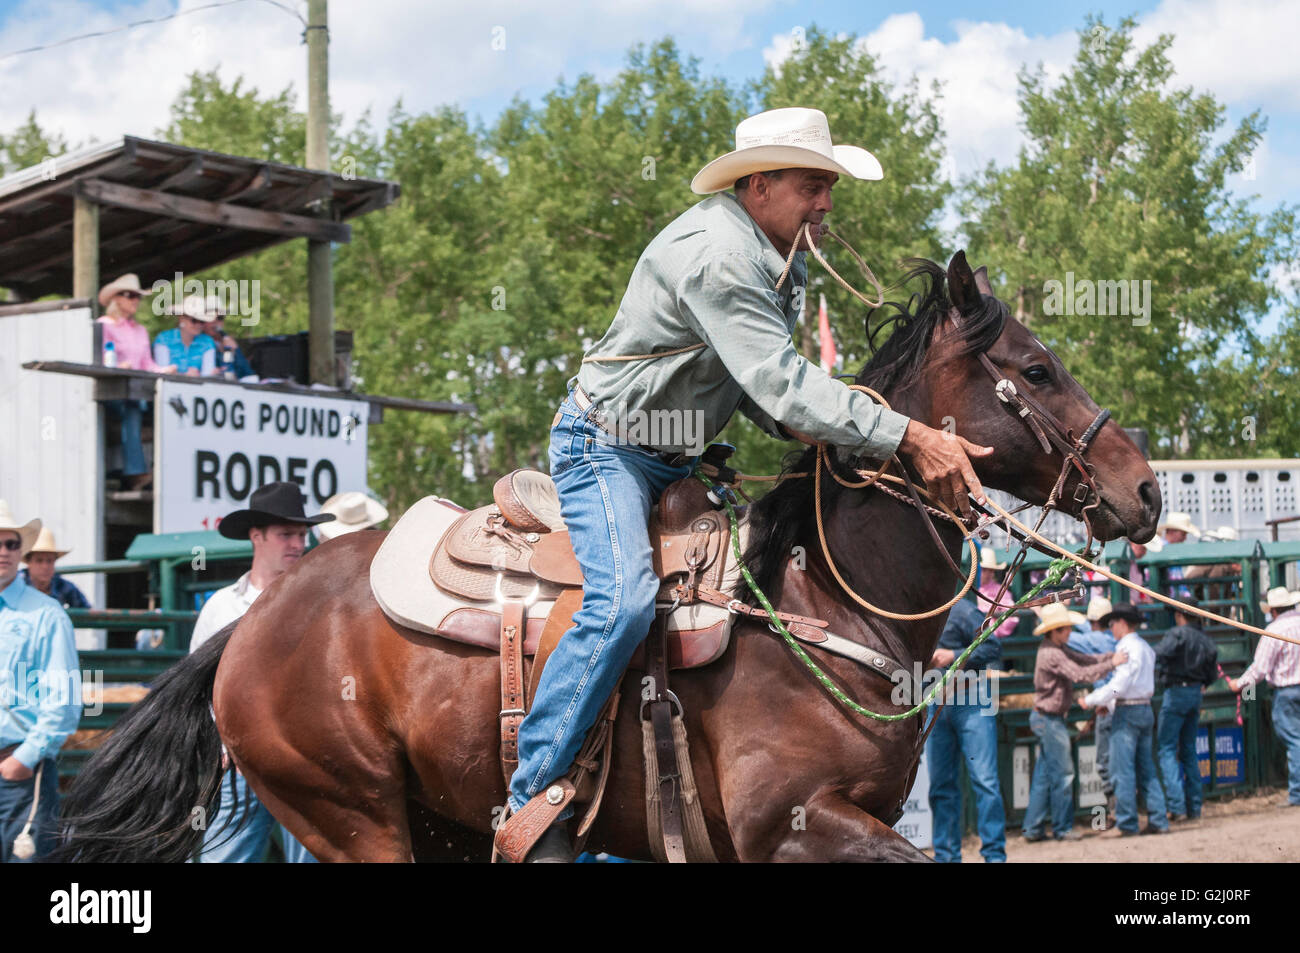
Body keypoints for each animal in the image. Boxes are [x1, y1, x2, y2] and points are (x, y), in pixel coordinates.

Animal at [58, 252, 1159, 863]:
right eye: (1034, 370)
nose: (1144, 487)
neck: (827, 604)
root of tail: (248, 624)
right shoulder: (796, 824)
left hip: (434, 821)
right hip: (352, 815)